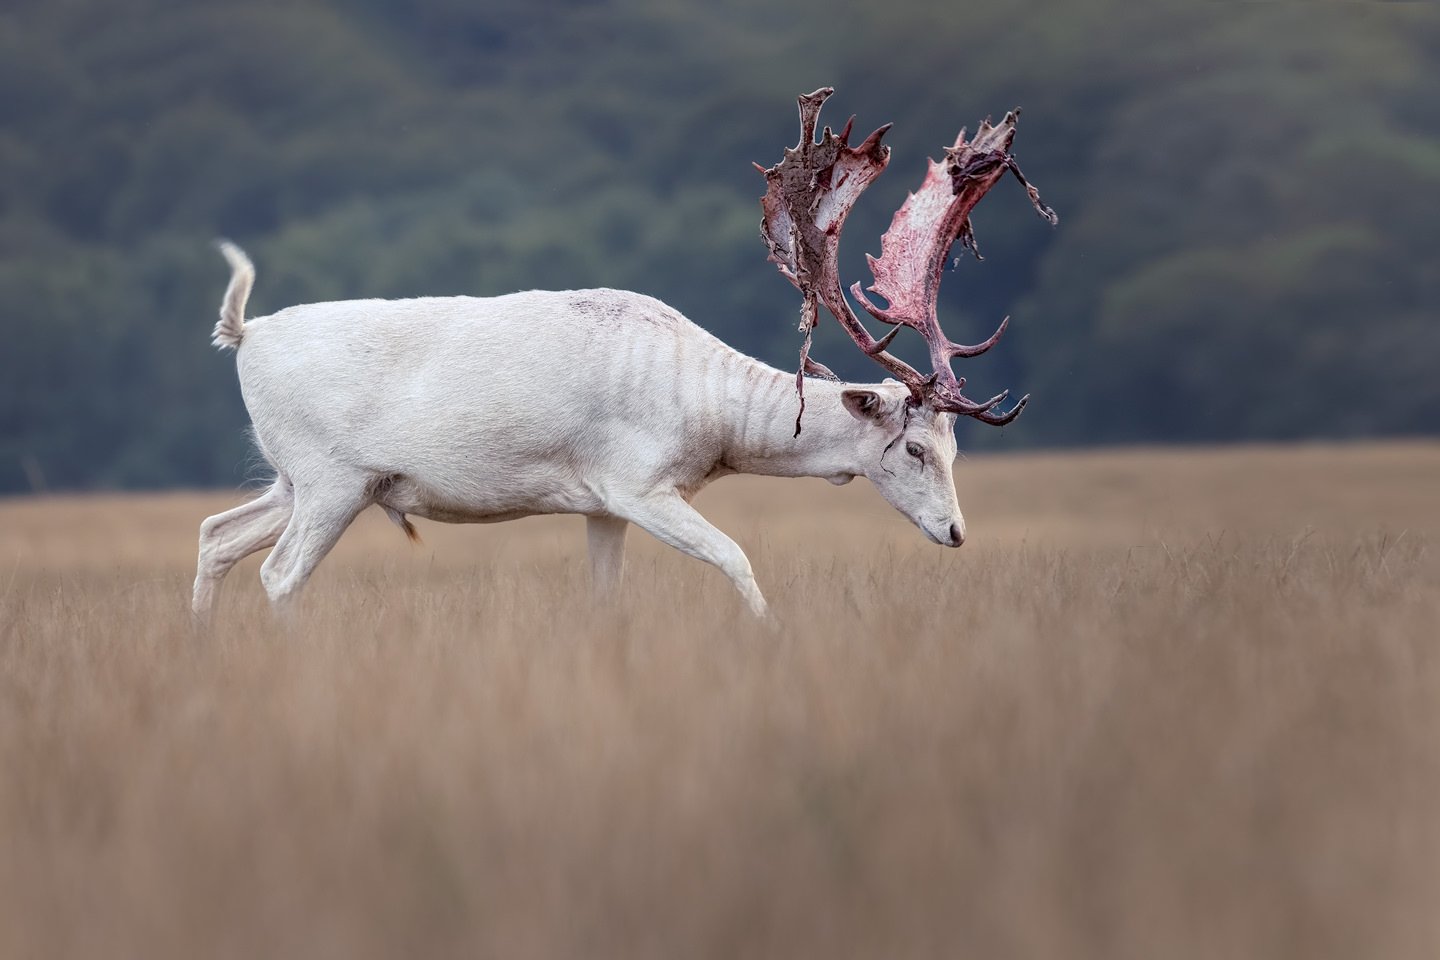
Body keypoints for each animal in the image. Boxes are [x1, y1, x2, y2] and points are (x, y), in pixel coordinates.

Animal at [191, 87, 1055, 622]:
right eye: (913, 447)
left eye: (955, 448)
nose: (956, 532)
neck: (707, 421)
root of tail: (246, 335)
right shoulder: (637, 482)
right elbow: (738, 559)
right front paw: (770, 637)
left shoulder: (600, 505)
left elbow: (605, 598)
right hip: (331, 477)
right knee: (276, 574)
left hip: (297, 479)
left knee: (215, 536)